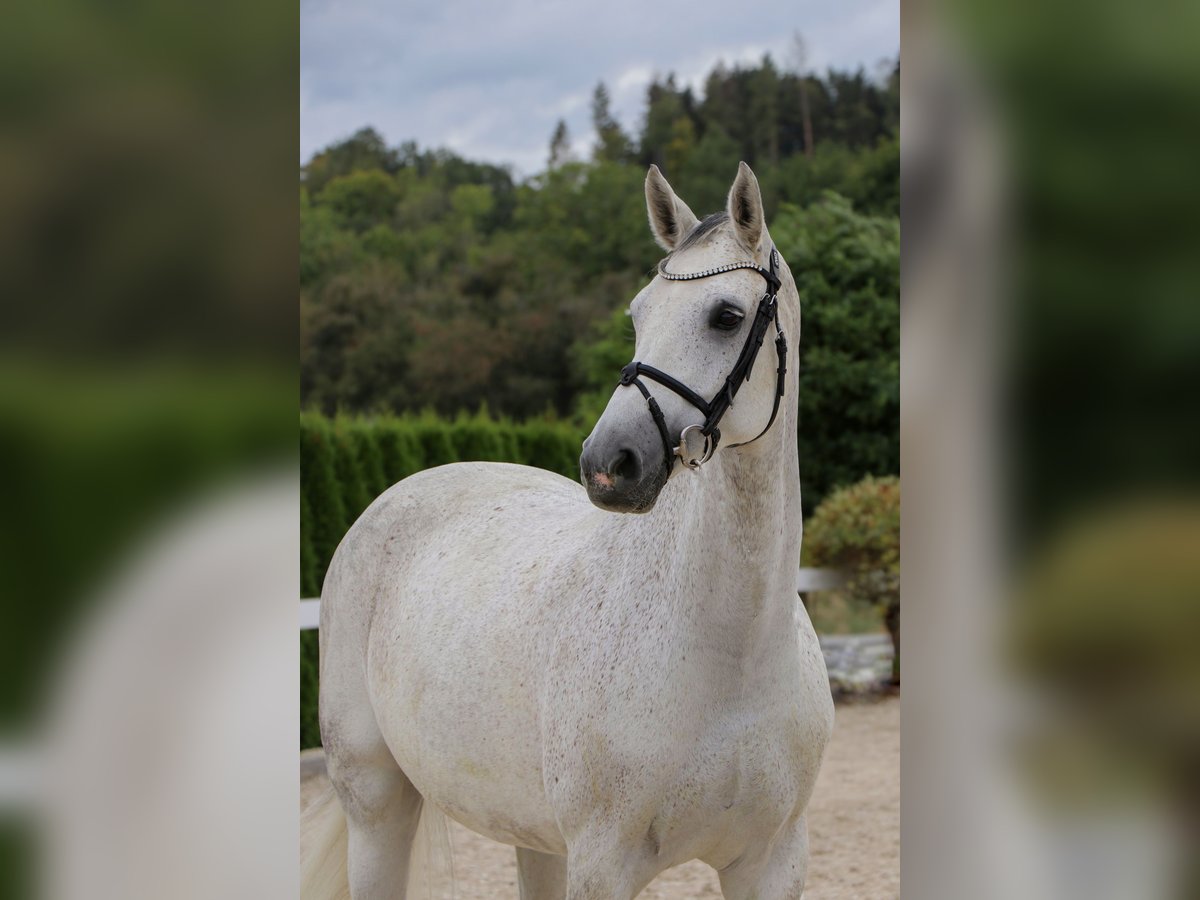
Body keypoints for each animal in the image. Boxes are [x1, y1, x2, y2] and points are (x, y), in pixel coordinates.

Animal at [307, 164, 835, 900]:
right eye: (638, 313)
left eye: (726, 316)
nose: (610, 463)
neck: (735, 655)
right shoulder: (603, 866)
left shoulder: (771, 862)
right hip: (377, 804)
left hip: (533, 836)